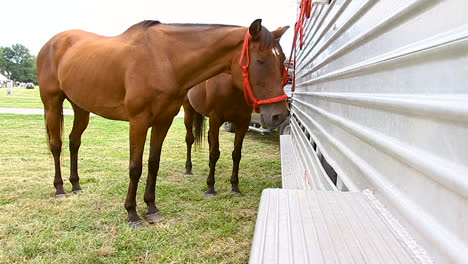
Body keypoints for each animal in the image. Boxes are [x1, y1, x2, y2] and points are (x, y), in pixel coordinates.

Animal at [37, 19, 288, 225]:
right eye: (261, 60)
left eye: (283, 61)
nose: (279, 115)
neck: (164, 60)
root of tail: (51, 44)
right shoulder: (138, 122)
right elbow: (135, 167)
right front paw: (132, 213)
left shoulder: (163, 121)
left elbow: (153, 163)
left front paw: (151, 208)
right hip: (52, 103)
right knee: (56, 145)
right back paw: (60, 188)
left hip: (81, 108)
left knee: (74, 142)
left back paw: (76, 184)